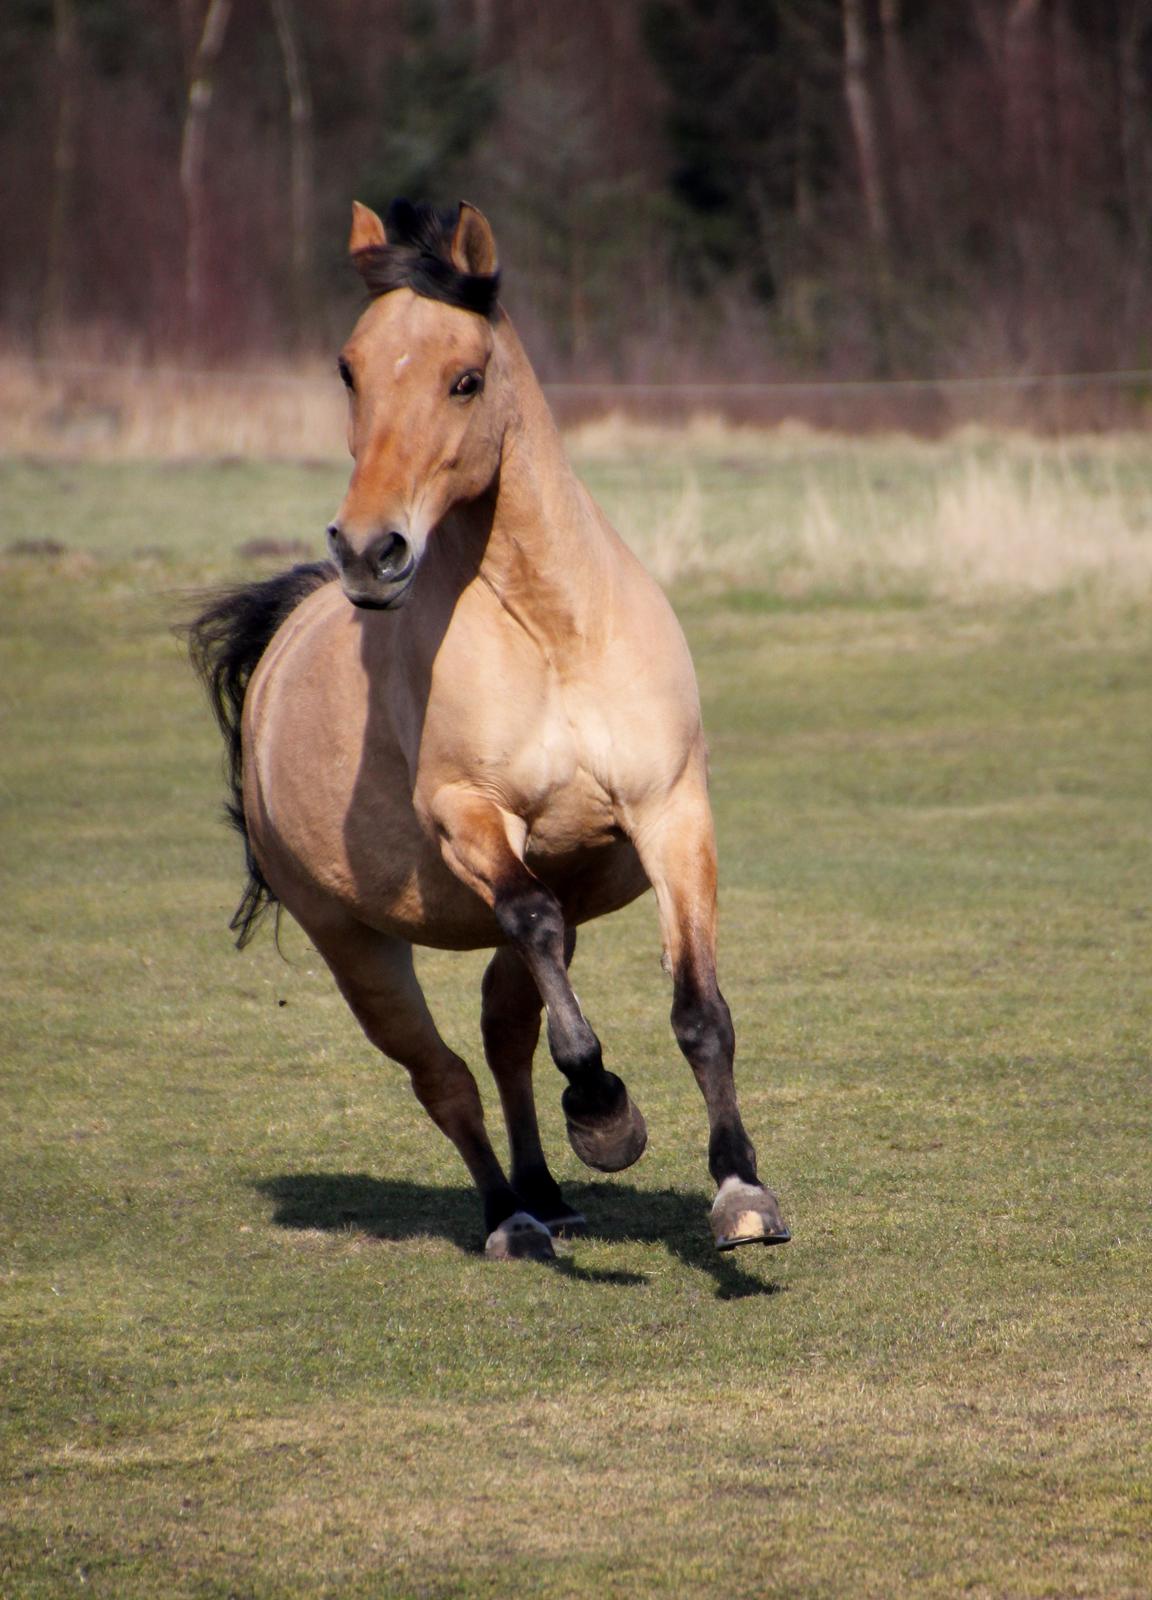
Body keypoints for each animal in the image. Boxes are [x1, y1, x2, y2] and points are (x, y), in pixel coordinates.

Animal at [186, 196, 793, 1260]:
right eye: (348, 368)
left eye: (465, 379)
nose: (368, 550)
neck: (553, 632)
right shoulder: (471, 819)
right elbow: (537, 936)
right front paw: (605, 1113)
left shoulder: (671, 812)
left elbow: (699, 1009)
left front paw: (740, 1191)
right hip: (355, 947)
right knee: (444, 1074)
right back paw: (511, 1212)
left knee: (505, 1035)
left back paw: (548, 1192)